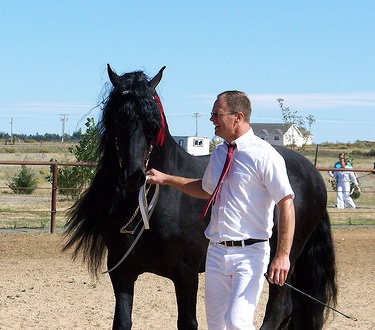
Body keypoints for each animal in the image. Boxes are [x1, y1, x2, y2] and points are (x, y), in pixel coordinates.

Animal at [64, 65, 338, 330]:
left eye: (152, 123)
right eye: (117, 118)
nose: (134, 176)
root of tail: (312, 173)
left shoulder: (186, 273)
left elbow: (187, 322)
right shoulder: (122, 272)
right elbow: (122, 321)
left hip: (282, 263)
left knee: (280, 308)